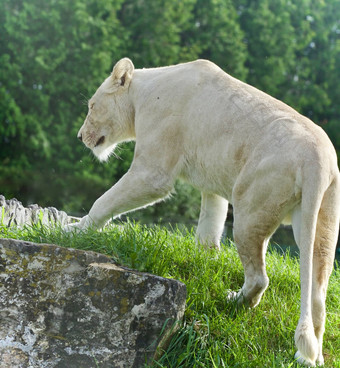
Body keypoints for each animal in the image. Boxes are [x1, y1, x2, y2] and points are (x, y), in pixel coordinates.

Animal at [67, 59, 338, 366]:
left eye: (91, 106)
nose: (80, 136)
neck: (141, 94)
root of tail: (316, 158)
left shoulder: (153, 171)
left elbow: (106, 200)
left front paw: (76, 229)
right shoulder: (212, 184)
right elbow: (209, 225)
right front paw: (204, 259)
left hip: (251, 206)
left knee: (259, 278)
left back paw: (234, 301)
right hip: (321, 222)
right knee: (317, 296)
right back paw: (310, 358)